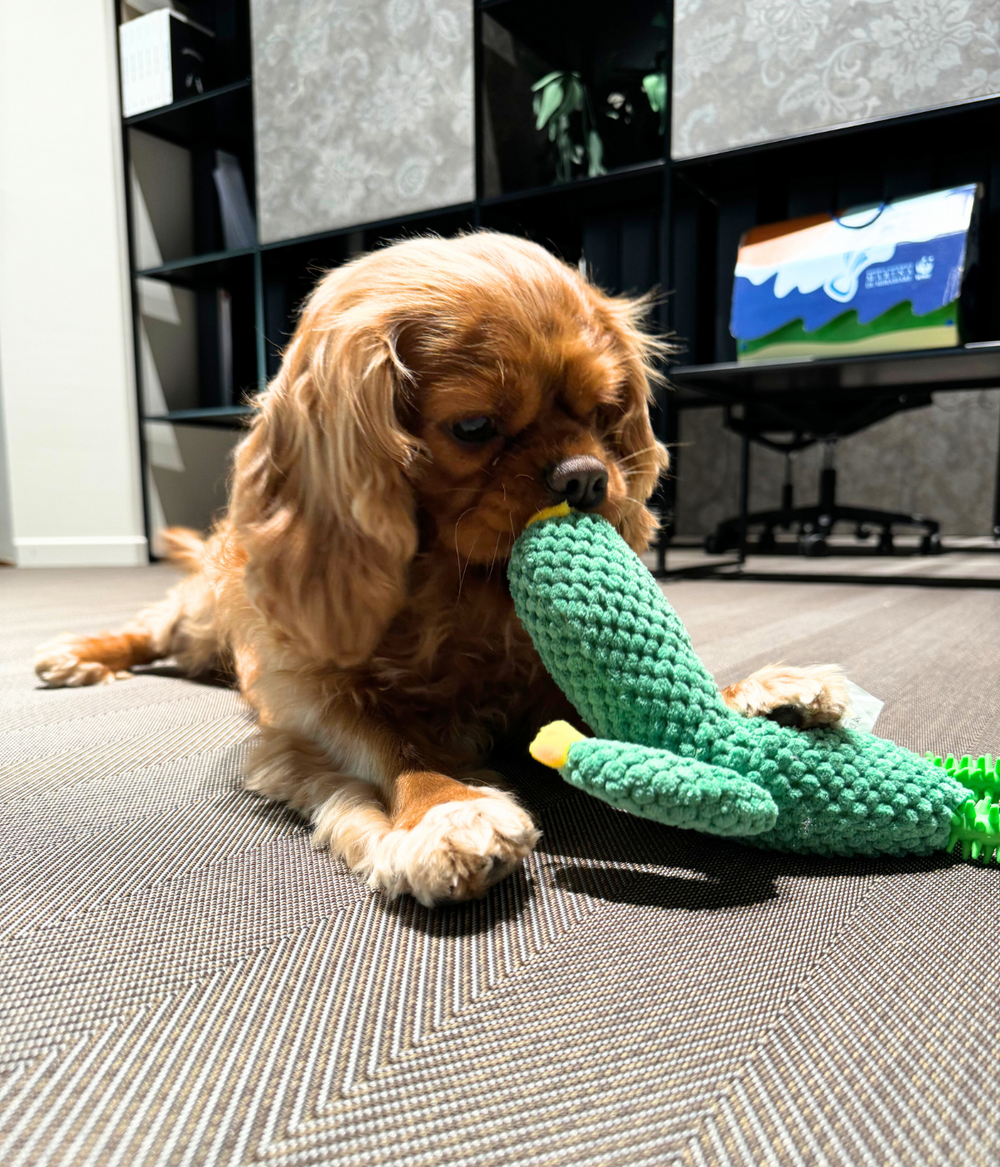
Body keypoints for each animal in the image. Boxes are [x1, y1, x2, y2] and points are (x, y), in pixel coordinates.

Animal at [35, 236, 844, 905]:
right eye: (474, 427)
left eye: (602, 410)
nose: (587, 477)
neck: (458, 588)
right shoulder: (305, 695)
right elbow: (392, 741)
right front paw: (447, 808)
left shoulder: (543, 682)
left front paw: (756, 698)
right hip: (203, 620)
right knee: (147, 631)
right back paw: (79, 654)